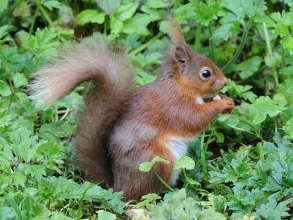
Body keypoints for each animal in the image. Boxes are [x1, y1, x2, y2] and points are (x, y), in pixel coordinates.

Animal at [30, 18, 234, 201]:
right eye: (205, 73)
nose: (225, 82)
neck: (179, 85)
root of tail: (118, 187)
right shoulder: (175, 105)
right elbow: (194, 119)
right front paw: (221, 105)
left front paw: (227, 101)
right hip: (156, 160)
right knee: (145, 194)